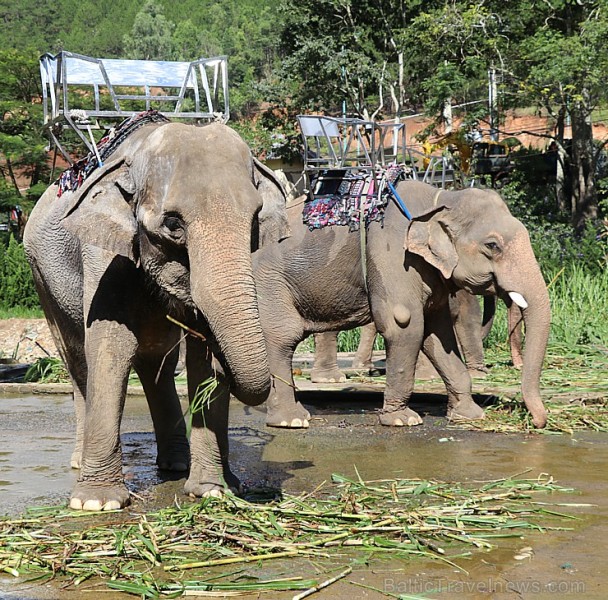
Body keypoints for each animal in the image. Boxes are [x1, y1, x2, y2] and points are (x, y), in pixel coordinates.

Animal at [23, 120, 290, 510]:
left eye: (256, 219)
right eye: (173, 224)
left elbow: (198, 358)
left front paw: (213, 490)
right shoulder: (104, 254)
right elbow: (111, 346)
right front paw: (96, 504)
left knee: (156, 362)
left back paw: (177, 465)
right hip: (41, 278)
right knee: (77, 361)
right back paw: (79, 462)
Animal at [256, 179, 552, 432]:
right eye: (492, 245)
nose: (537, 422)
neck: (440, 198)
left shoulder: (429, 273)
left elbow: (437, 333)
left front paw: (470, 415)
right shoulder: (393, 254)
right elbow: (405, 324)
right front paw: (403, 420)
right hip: (270, 284)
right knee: (282, 338)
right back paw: (292, 421)